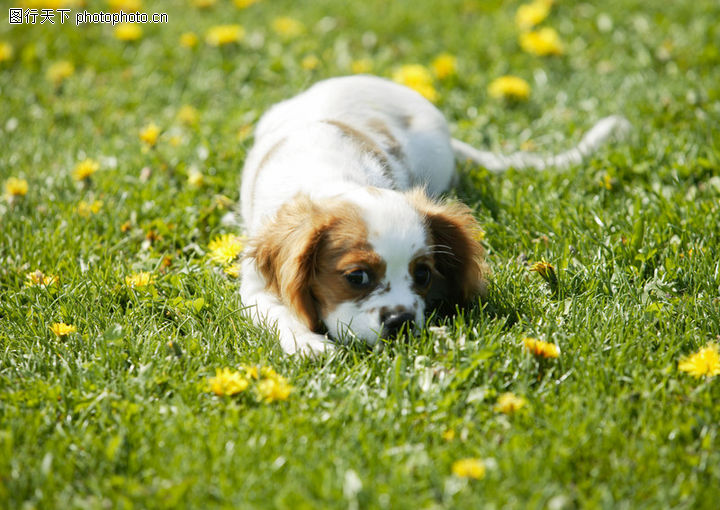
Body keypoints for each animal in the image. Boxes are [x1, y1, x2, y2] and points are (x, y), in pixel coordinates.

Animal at [239, 75, 628, 354]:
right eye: (357, 277)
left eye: (423, 274)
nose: (401, 322)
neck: (335, 176)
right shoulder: (254, 285)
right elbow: (277, 312)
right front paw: (309, 344)